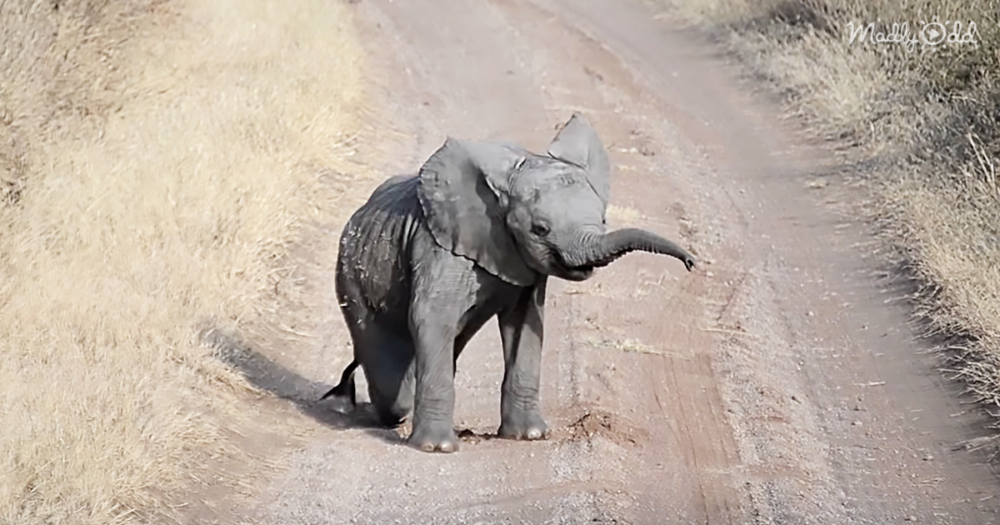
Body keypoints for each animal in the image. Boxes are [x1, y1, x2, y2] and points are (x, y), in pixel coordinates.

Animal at [320, 113, 696, 453]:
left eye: (603, 219)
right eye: (540, 229)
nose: (691, 262)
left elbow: (525, 325)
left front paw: (530, 436)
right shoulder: (439, 248)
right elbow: (432, 318)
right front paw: (437, 448)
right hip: (350, 277)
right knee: (389, 378)